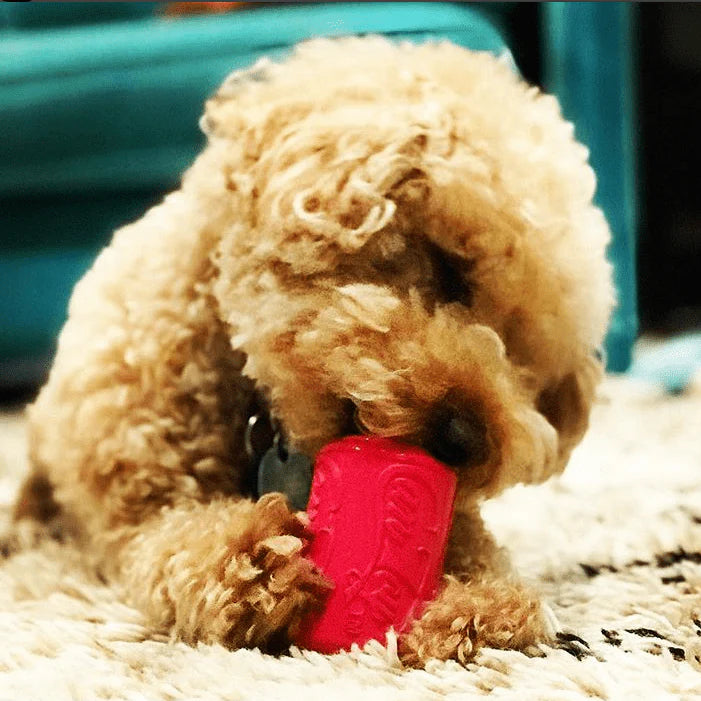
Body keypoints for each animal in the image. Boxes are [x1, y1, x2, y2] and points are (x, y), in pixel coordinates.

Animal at [10, 37, 612, 660]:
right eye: (451, 271)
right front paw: (254, 559)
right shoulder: (142, 498)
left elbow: (473, 546)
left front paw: (486, 606)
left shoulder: (458, 515)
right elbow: (175, 539)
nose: (465, 438)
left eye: (524, 362)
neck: (260, 415)